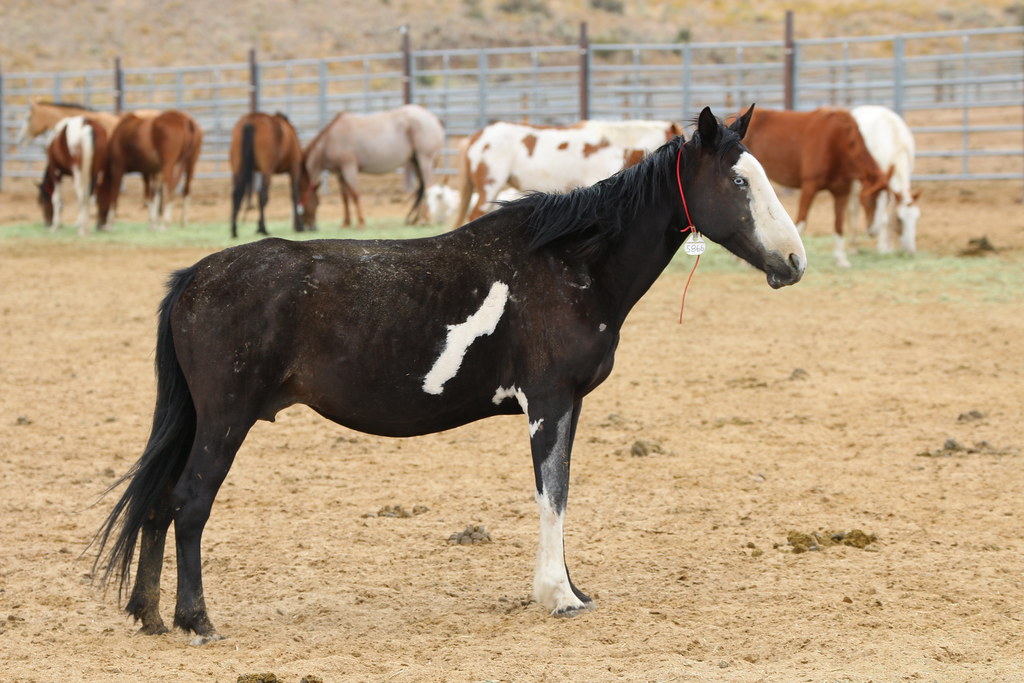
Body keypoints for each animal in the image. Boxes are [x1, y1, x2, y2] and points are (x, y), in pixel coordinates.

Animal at [298, 104, 445, 229]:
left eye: (317, 203)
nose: (309, 226)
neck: (330, 139)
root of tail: (434, 118)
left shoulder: (349, 168)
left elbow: (355, 194)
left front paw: (361, 223)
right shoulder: (340, 173)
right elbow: (345, 197)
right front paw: (346, 223)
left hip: (425, 160)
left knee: (429, 187)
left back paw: (424, 220)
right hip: (415, 162)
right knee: (422, 188)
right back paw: (415, 219)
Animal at [737, 107, 890, 267]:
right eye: (870, 200)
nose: (874, 231)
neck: (839, 142)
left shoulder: (842, 192)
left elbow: (839, 225)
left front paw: (841, 259)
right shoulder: (810, 187)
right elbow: (801, 222)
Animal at [847, 105, 920, 254]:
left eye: (917, 218)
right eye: (900, 219)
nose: (910, 251)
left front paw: (888, 247)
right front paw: (882, 248)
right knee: (853, 211)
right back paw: (853, 246)